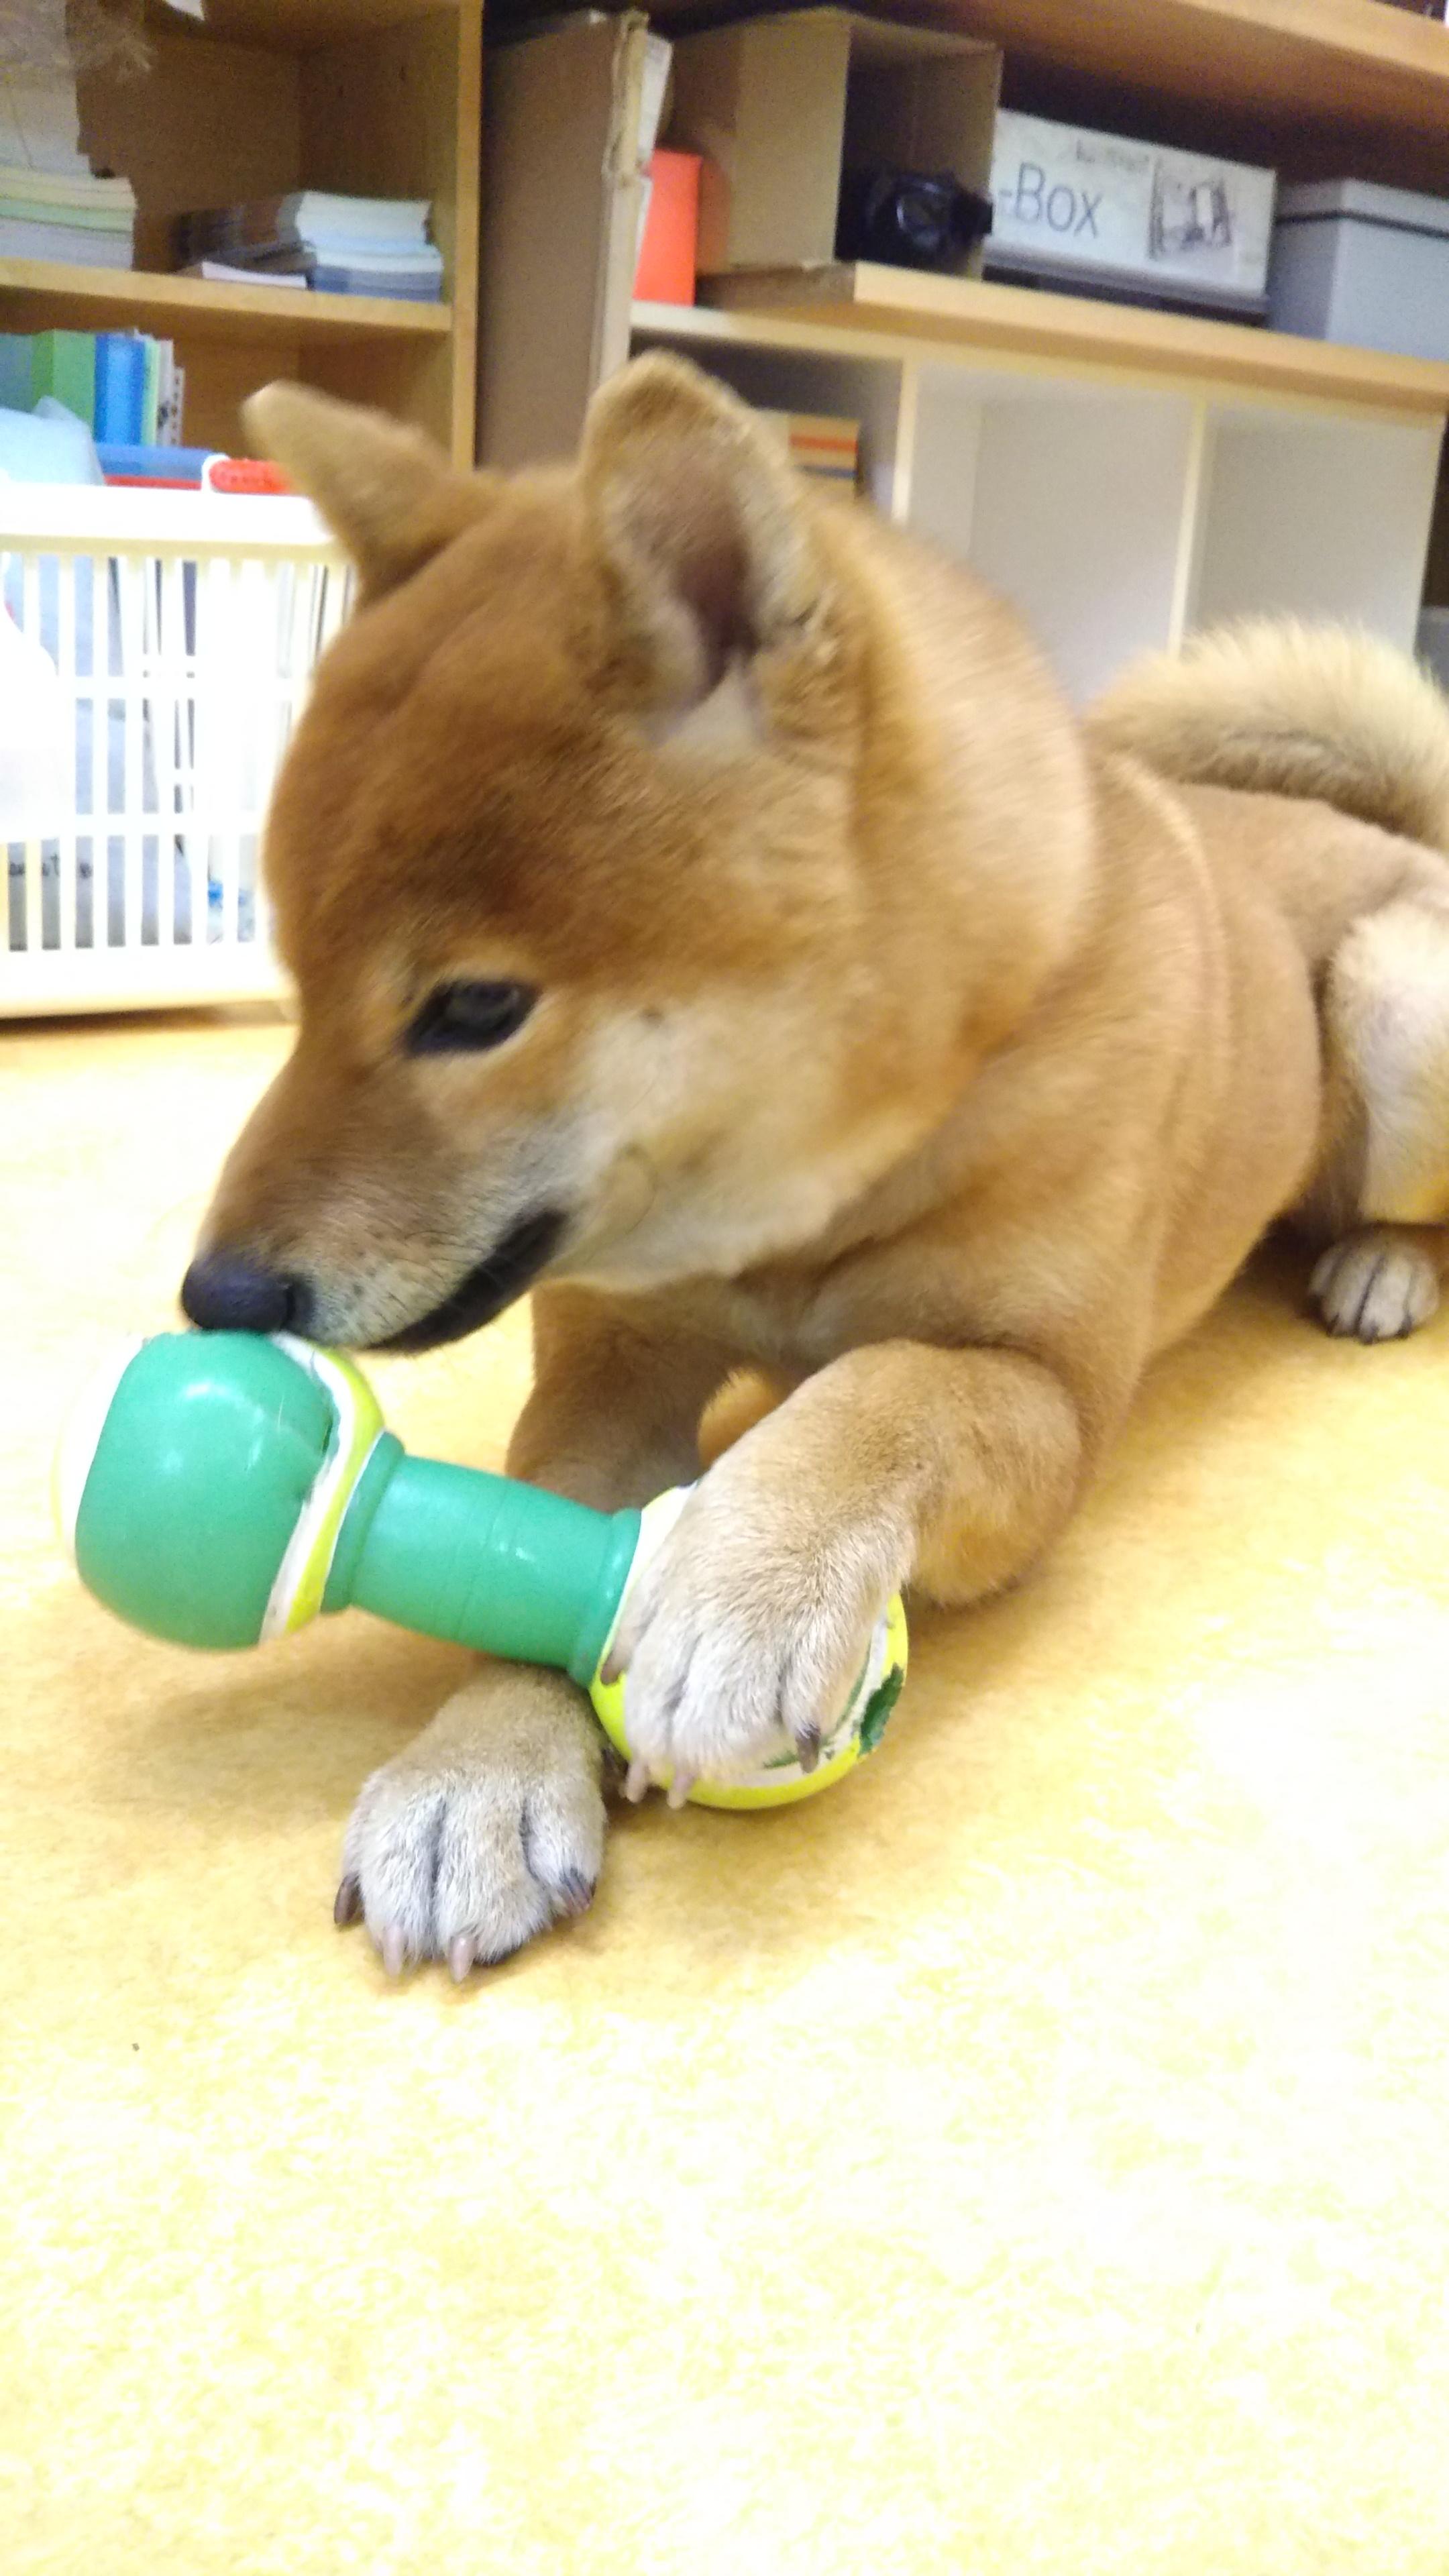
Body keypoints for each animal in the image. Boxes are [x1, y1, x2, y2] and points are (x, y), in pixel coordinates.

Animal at [180, 354, 1449, 1979]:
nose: (216, 1298)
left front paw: (748, 1583)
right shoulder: (613, 1369)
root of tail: (1381, 827)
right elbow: (545, 1532)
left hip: (1395, 1010)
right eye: (294, 978)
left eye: (472, 1010)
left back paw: (1380, 1265)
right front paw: (480, 1771)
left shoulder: (1047, 1397)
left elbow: (885, 1389)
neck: (801, 1212)